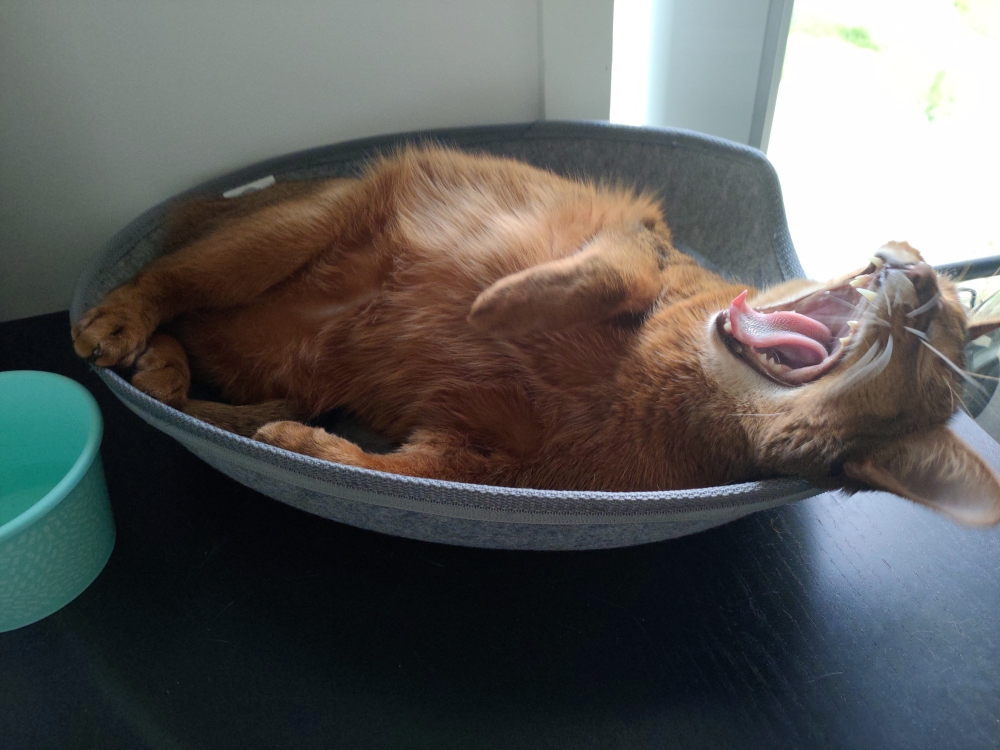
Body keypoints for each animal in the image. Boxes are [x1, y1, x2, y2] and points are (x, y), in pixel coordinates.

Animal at [72, 145, 1000, 526]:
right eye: (945, 306)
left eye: (936, 342)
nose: (916, 276)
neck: (661, 386)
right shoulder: (645, 234)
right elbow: (621, 275)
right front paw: (503, 304)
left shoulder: (480, 460)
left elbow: (392, 468)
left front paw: (305, 446)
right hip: (293, 230)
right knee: (167, 282)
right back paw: (120, 325)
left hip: (279, 348)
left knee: (193, 336)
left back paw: (167, 372)